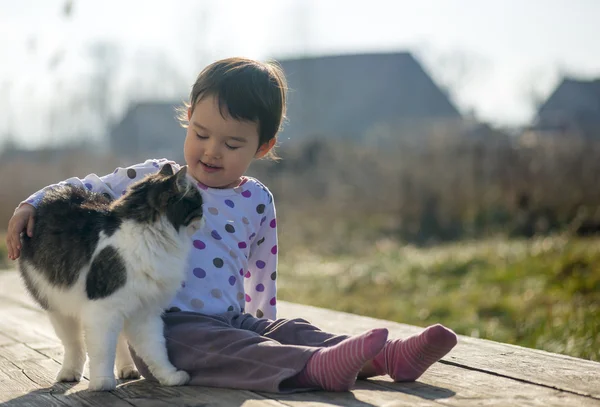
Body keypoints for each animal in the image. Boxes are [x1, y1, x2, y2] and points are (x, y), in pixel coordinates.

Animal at [17, 165, 204, 392]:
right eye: (199, 204)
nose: (204, 218)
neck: (149, 237)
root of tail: (49, 197)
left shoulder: (145, 312)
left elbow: (156, 351)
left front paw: (169, 377)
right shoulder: (103, 310)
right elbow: (102, 350)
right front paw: (102, 382)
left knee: (120, 341)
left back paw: (127, 369)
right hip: (58, 307)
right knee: (74, 345)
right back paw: (70, 373)